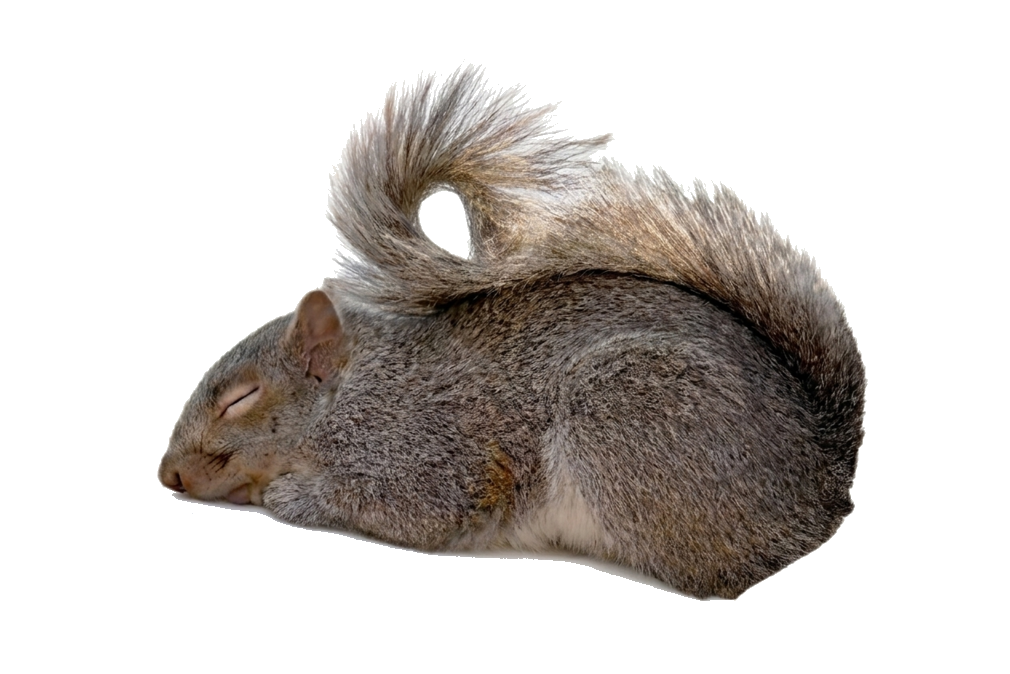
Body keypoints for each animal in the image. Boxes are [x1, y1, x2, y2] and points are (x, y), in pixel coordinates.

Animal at [158, 67, 865, 600]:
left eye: (242, 399)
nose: (168, 477)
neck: (360, 393)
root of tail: (821, 475)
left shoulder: (427, 449)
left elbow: (410, 505)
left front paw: (287, 495)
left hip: (626, 408)